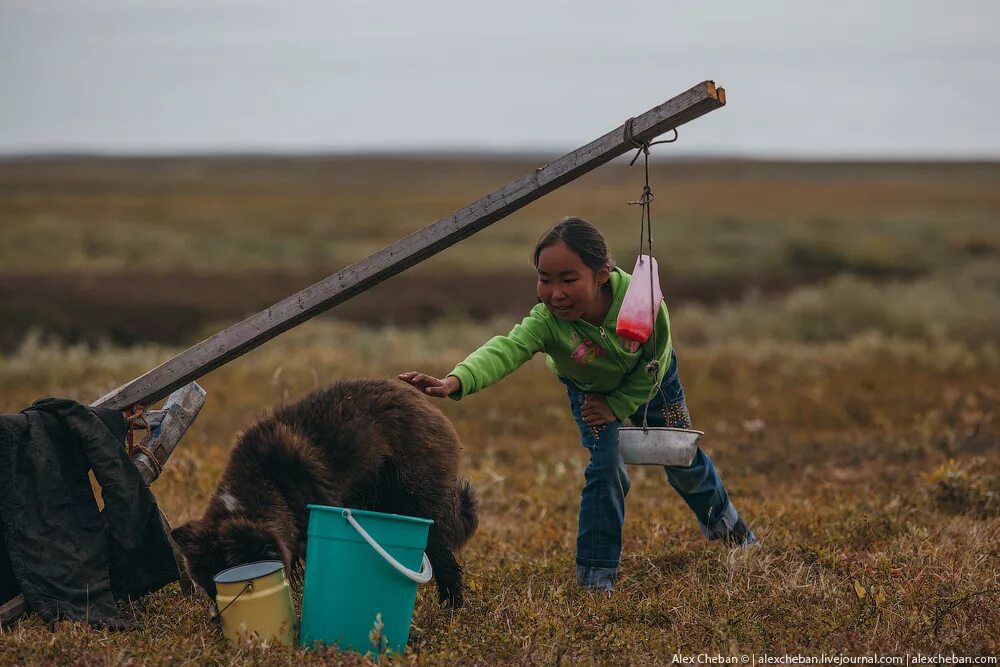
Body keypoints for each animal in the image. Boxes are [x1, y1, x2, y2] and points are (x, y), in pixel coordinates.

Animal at [170, 378, 478, 608]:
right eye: (209, 588)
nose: (217, 624)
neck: (268, 484)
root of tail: (425, 404)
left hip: (420, 503)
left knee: (444, 560)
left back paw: (451, 609)